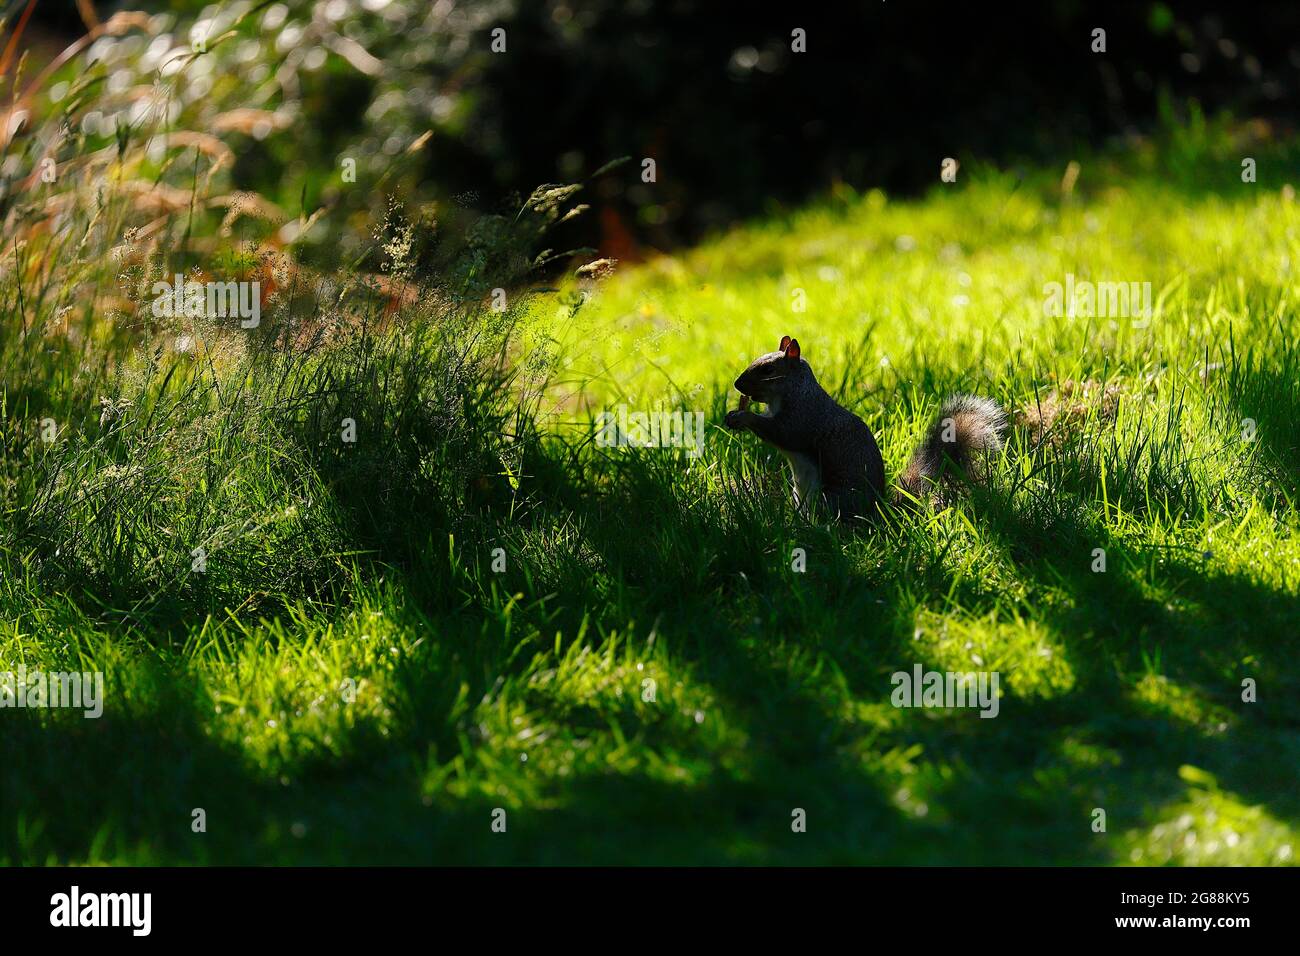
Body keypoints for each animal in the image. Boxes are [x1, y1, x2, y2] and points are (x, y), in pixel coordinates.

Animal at [722, 332, 1003, 520]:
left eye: (768, 370)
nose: (737, 384)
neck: (792, 391)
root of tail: (877, 513)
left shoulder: (803, 417)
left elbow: (781, 433)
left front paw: (743, 418)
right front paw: (733, 414)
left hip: (833, 499)